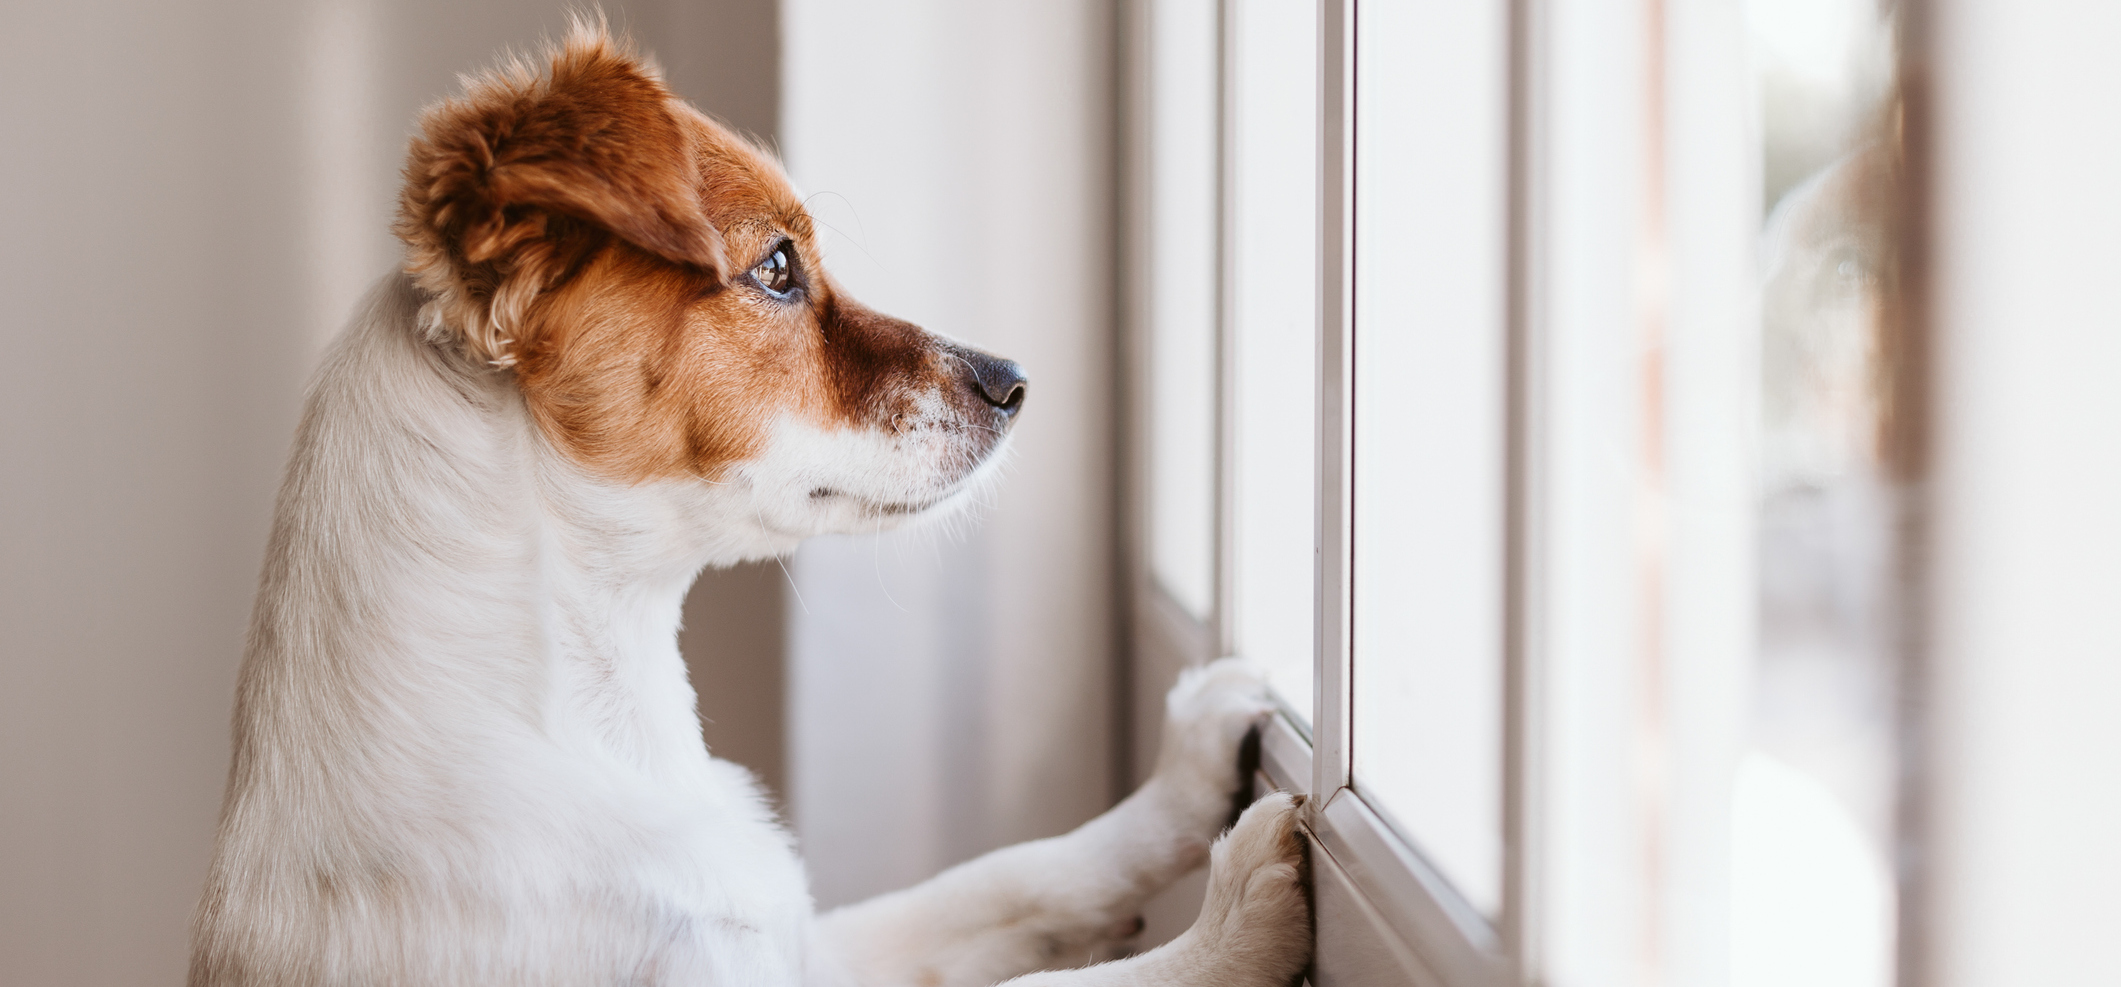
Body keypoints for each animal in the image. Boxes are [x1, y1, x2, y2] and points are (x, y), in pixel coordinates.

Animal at [190, 23, 1306, 984]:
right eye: (775, 268)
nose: (1014, 381)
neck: (599, 718)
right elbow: (1074, 984)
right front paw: (1230, 924)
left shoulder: (808, 943)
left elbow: (1008, 875)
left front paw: (1184, 776)